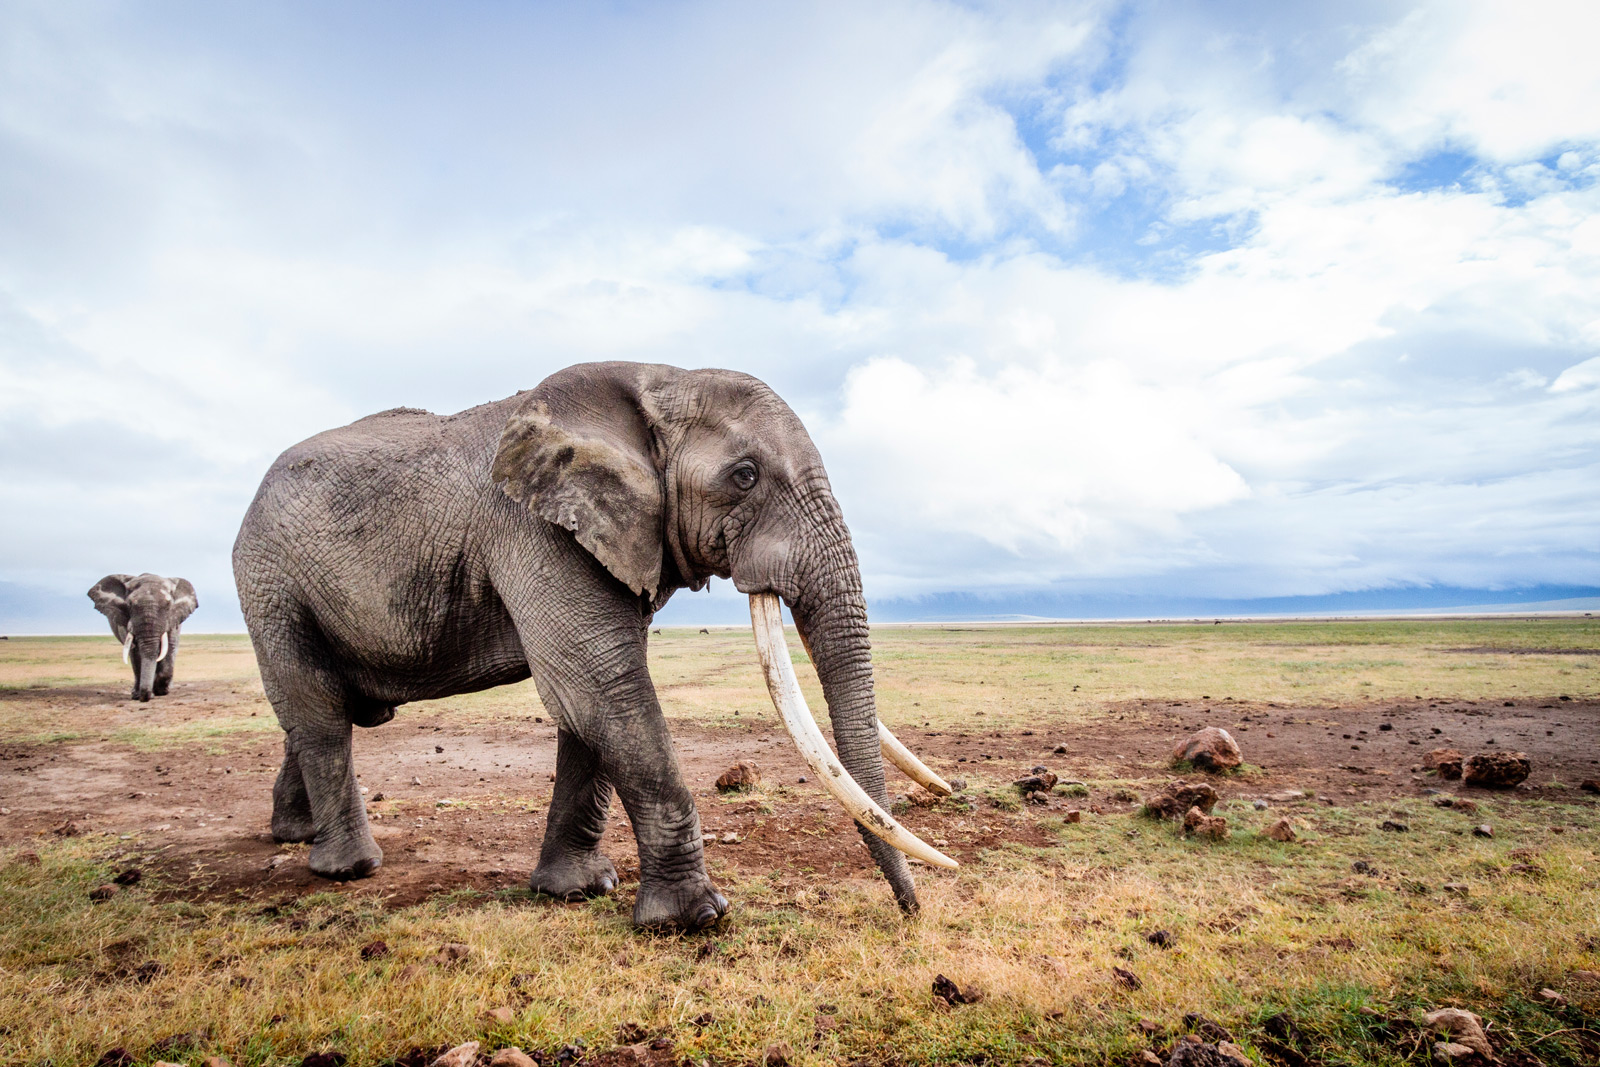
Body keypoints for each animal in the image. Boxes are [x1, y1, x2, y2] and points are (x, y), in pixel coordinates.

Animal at [86, 572, 197, 703]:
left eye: (168, 605)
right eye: (129, 604)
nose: (146, 697)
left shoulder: (173, 618)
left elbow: (169, 648)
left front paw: (161, 691)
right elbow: (135, 652)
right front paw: (140, 695)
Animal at [233, 358, 953, 927]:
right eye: (745, 476)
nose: (910, 911)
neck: (657, 380)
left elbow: (590, 703)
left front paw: (578, 890)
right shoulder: (532, 527)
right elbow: (599, 684)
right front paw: (695, 919)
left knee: (328, 713)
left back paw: (295, 835)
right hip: (271, 584)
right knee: (319, 711)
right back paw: (347, 868)